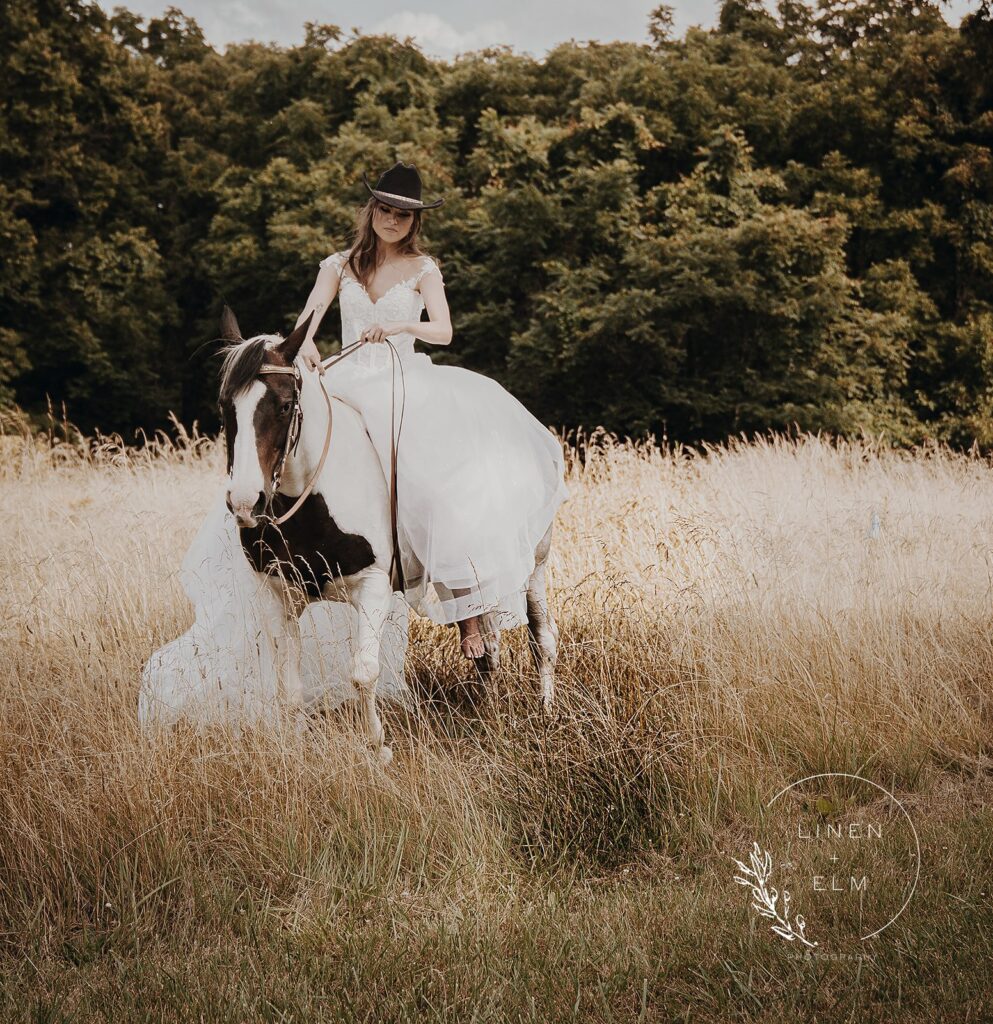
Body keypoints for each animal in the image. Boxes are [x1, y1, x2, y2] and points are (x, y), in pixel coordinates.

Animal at [213, 307, 560, 765]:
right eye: (225, 407)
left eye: (286, 405)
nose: (244, 503)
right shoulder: (277, 594)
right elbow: (290, 686)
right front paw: (298, 745)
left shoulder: (373, 585)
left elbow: (364, 672)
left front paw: (377, 747)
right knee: (487, 642)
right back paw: (488, 710)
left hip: (534, 565)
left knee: (541, 637)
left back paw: (547, 711)